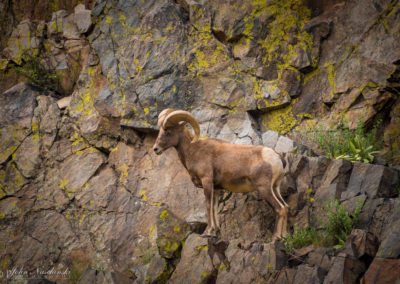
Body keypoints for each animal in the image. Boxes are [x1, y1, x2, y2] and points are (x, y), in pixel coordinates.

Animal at [152, 108, 288, 240]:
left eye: (168, 131)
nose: (156, 149)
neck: (193, 150)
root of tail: (276, 157)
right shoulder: (216, 188)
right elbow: (214, 207)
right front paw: (214, 232)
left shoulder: (206, 181)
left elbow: (208, 206)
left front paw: (207, 232)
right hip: (275, 188)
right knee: (285, 206)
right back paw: (284, 236)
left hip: (264, 188)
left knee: (280, 209)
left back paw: (275, 237)